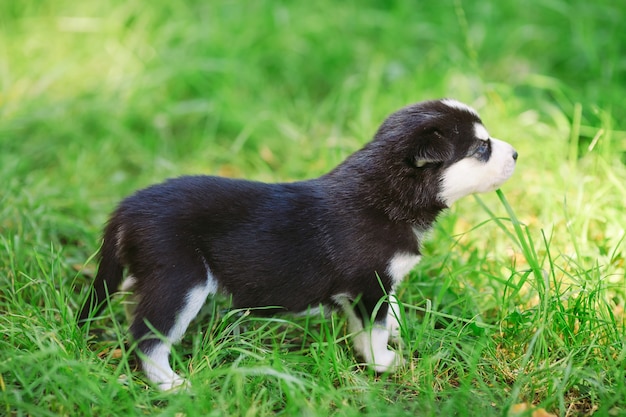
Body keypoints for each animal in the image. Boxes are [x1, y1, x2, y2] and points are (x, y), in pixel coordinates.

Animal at [78, 99, 516, 388]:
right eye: (481, 148)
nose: (515, 152)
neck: (389, 195)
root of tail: (127, 207)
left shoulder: (380, 284)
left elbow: (386, 314)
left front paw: (395, 333)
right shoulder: (368, 285)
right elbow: (372, 330)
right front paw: (384, 363)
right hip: (181, 282)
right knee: (147, 338)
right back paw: (171, 384)